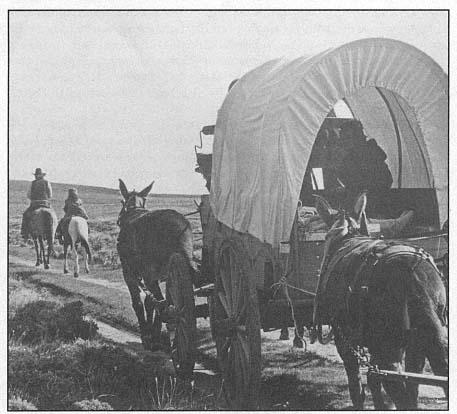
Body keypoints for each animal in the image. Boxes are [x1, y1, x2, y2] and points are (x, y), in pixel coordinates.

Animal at [116, 179, 194, 352]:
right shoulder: (158, 277)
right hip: (171, 273)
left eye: (122, 202)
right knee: (163, 302)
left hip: (149, 274)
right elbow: (149, 303)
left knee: (162, 304)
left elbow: (138, 303)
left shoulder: (129, 272)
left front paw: (146, 335)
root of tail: (181, 228)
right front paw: (151, 334)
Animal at [312, 192, 448, 410]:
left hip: (388, 346)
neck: (347, 236)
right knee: (415, 386)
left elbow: (357, 385)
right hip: (419, 341)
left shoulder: (344, 340)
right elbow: (374, 378)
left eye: (326, 237)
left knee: (399, 392)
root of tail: (409, 273)